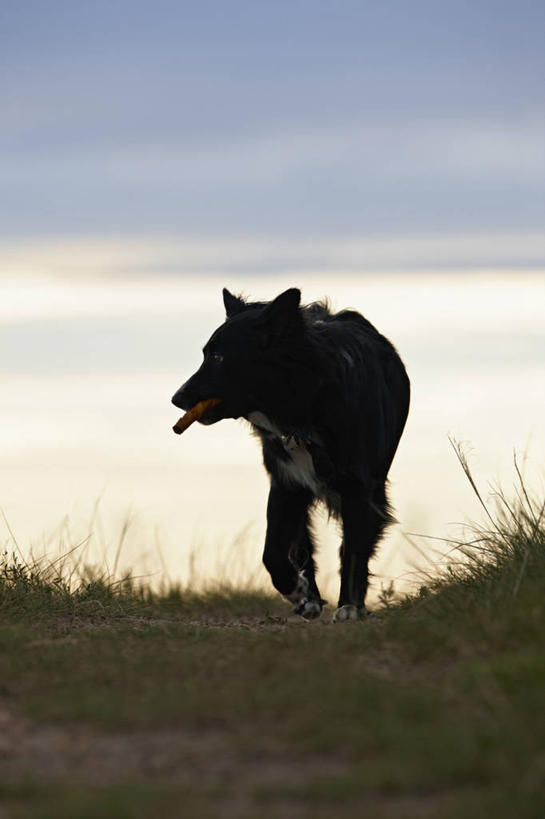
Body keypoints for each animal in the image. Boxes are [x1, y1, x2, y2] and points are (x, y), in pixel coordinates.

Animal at [171, 290, 408, 620]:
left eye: (218, 357)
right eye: (206, 354)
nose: (176, 398)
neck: (305, 406)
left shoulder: (360, 487)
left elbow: (353, 550)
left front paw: (349, 605)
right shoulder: (287, 482)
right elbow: (273, 552)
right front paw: (298, 592)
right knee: (301, 547)